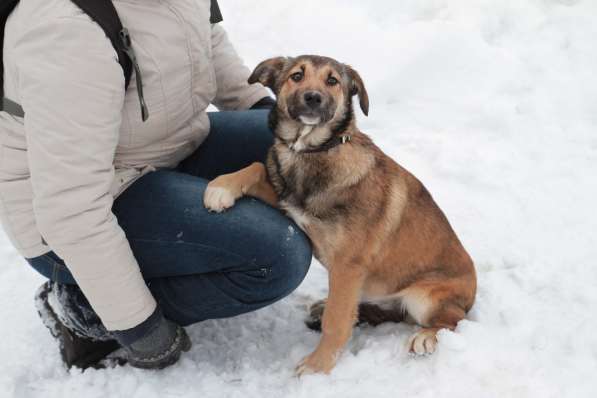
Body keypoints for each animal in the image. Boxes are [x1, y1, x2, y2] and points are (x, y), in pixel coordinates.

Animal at [203, 54, 478, 374]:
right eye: (297, 76)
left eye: (332, 81)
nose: (313, 97)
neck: (311, 151)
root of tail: (472, 293)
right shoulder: (288, 202)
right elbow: (258, 167)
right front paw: (221, 187)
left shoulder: (348, 265)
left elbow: (336, 322)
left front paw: (317, 367)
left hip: (425, 297)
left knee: (452, 320)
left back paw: (425, 337)